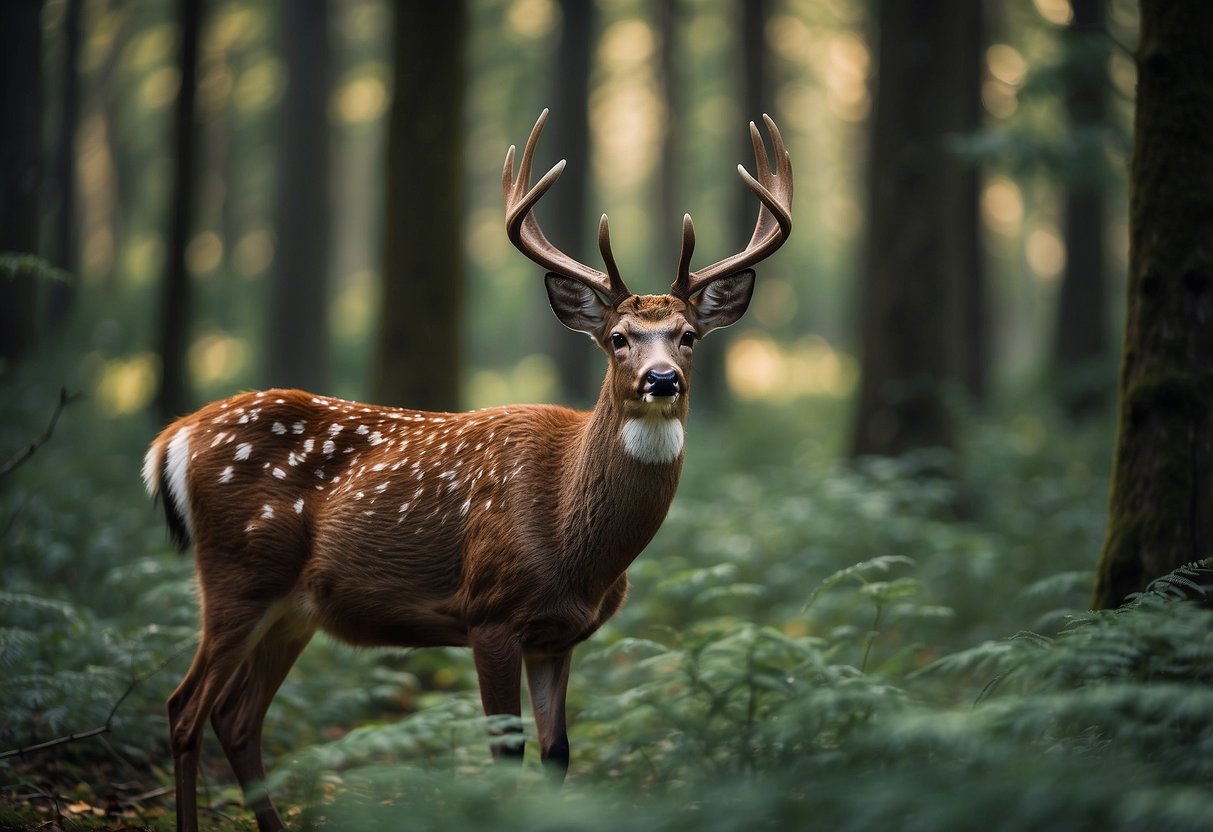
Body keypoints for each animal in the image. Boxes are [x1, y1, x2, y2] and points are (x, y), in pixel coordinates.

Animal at [141, 110, 790, 832]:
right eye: (617, 339)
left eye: (688, 335)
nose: (661, 379)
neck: (573, 543)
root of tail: (173, 437)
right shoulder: (490, 612)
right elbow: (504, 757)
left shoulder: (556, 636)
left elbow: (558, 754)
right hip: (237, 574)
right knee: (184, 708)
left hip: (292, 607)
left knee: (236, 717)